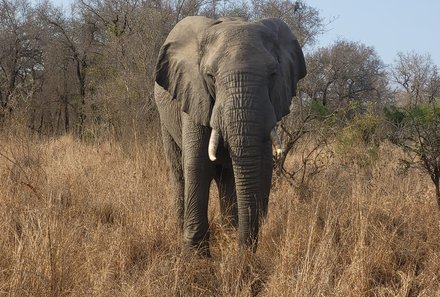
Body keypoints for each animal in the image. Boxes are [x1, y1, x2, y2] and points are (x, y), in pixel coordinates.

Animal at [155, 15, 306, 254]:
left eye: (273, 74)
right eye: (210, 76)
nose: (243, 250)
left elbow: (263, 165)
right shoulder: (195, 95)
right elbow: (197, 163)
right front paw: (195, 255)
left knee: (227, 177)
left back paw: (229, 229)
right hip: (166, 118)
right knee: (178, 170)